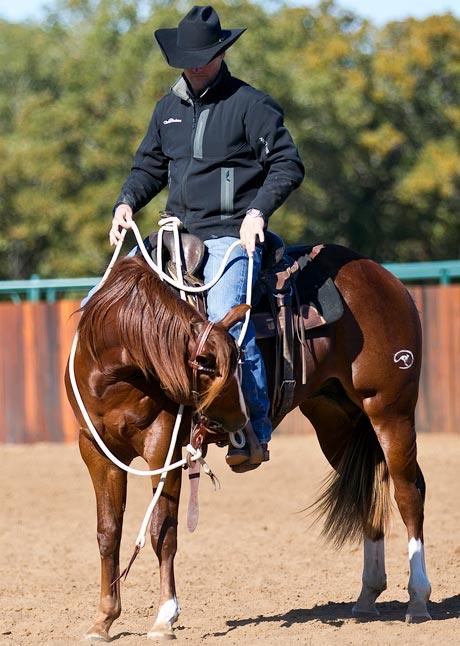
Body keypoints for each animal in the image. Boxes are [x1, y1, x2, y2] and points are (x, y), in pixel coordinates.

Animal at [65, 242, 431, 641]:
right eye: (213, 369)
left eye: (240, 360)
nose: (239, 421)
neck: (118, 372)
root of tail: (384, 278)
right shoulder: (96, 451)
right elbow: (108, 532)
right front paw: (103, 619)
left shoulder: (164, 446)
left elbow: (163, 530)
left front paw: (164, 617)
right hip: (336, 421)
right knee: (369, 492)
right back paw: (368, 595)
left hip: (390, 412)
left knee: (408, 493)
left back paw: (418, 599)